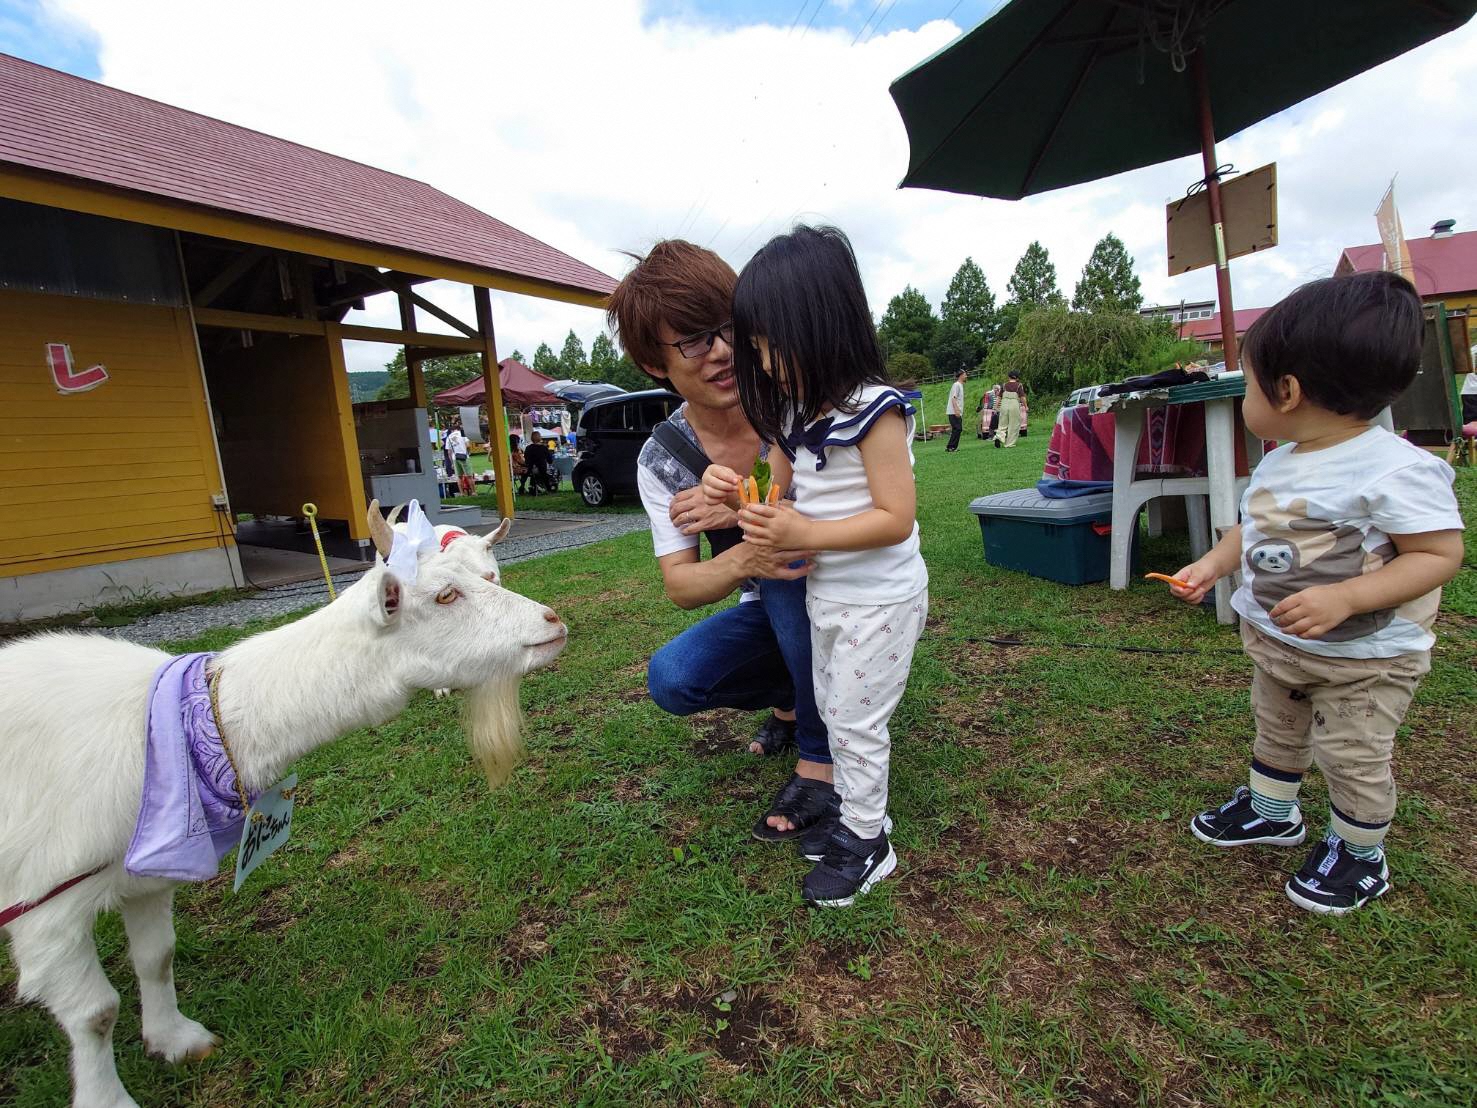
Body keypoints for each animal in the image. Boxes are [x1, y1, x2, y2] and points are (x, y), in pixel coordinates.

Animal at [0, 505, 564, 1108]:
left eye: (490, 577)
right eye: (445, 596)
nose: (553, 621)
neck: (180, 727)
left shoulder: (146, 872)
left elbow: (157, 957)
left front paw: (176, 1040)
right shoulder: (45, 910)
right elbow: (96, 1013)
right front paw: (107, 1097)